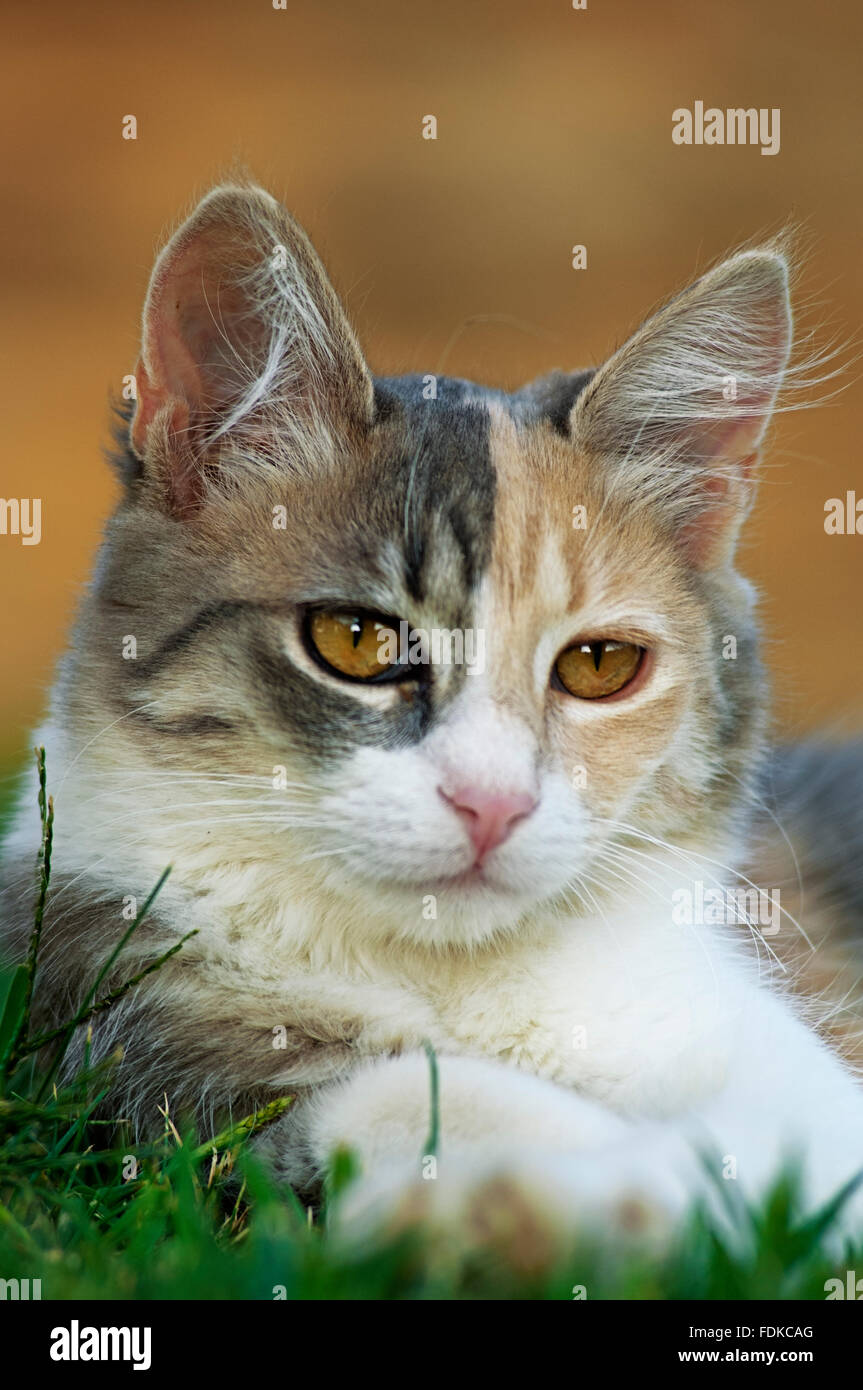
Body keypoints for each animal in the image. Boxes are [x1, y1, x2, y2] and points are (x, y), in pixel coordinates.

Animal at [1, 179, 861, 1256]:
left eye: (598, 665)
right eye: (356, 641)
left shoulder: (772, 1060)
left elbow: (770, 1155)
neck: (445, 977)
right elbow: (379, 1091)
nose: (490, 804)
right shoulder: (126, 1024)